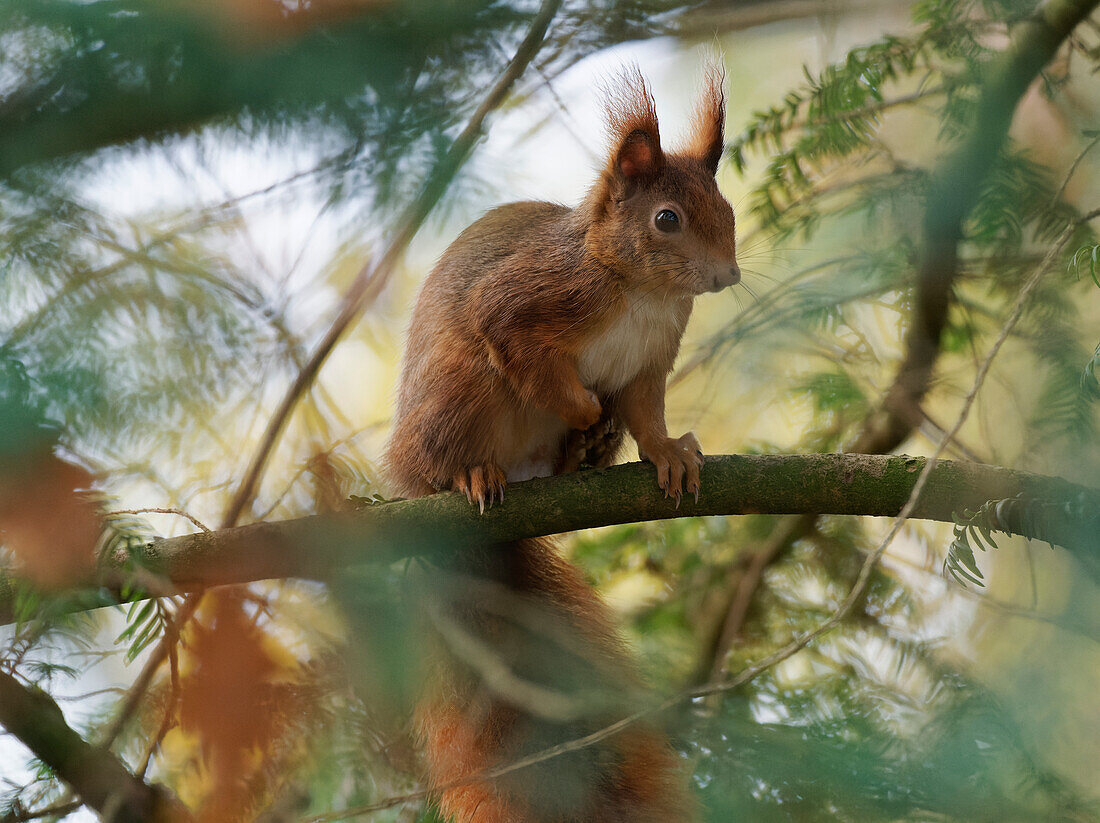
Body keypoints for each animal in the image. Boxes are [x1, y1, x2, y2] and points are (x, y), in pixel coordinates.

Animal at [387, 66, 739, 823]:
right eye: (666, 219)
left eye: (726, 208)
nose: (726, 275)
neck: (642, 292)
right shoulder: (527, 301)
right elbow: (529, 355)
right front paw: (584, 407)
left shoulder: (651, 363)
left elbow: (646, 414)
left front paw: (667, 453)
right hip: (458, 389)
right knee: (443, 452)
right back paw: (474, 474)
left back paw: (582, 456)